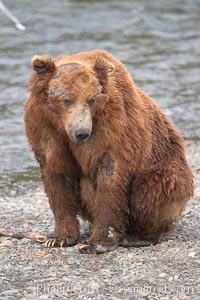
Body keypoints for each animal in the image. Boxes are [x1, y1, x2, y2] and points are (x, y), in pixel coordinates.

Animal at [23, 48, 194, 253]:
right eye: (67, 100)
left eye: (91, 100)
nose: (81, 132)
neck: (62, 126)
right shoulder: (44, 127)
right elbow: (58, 177)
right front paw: (59, 238)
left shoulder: (113, 126)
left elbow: (111, 175)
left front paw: (95, 243)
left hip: (168, 164)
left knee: (152, 188)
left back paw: (137, 237)